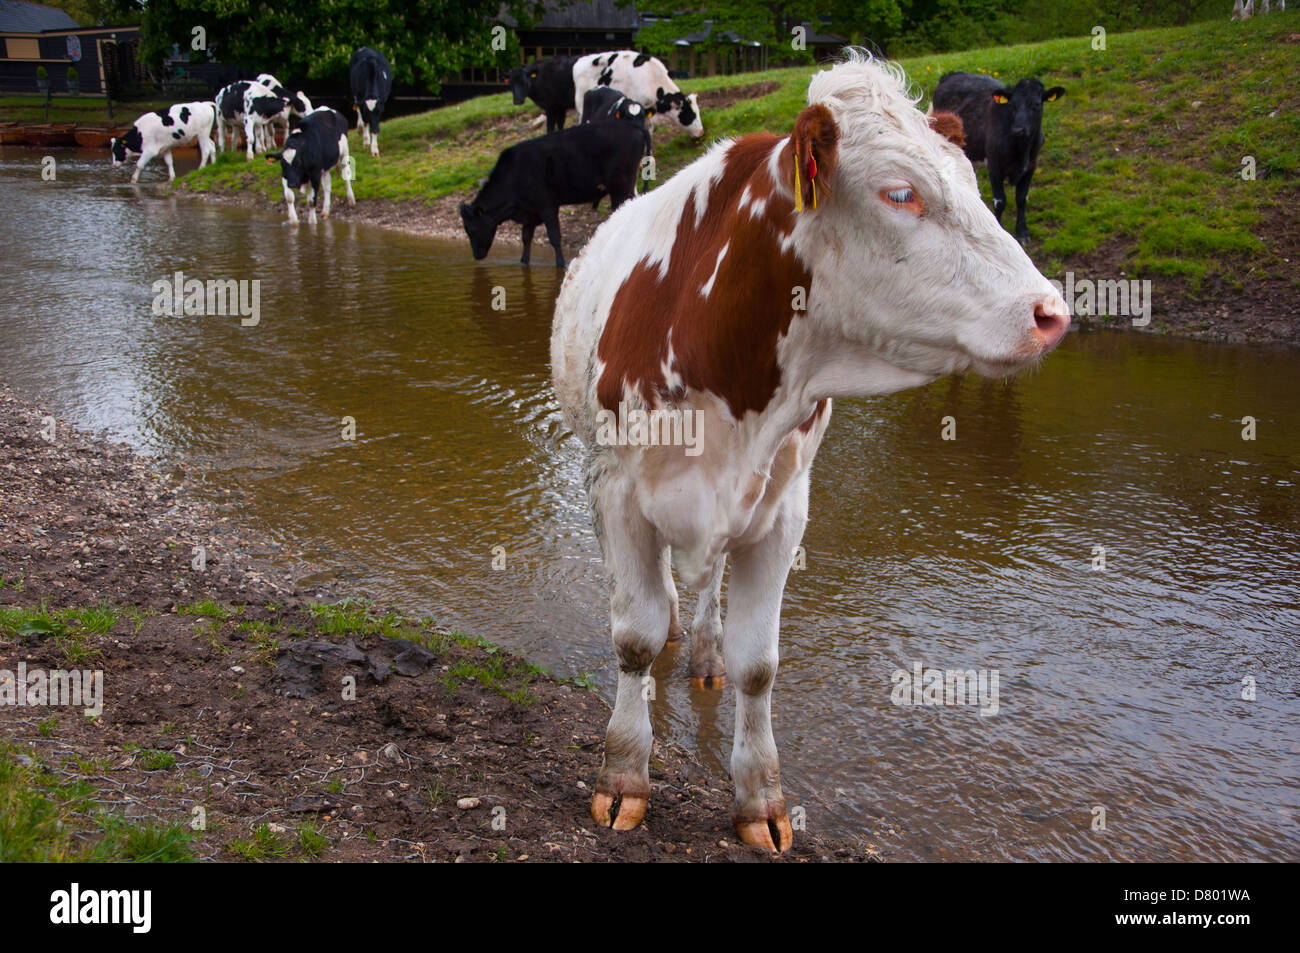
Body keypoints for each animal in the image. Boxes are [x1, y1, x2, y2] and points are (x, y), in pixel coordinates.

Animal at [462, 120, 655, 267]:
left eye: (472, 229)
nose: (476, 255)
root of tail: (632, 125)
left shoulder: (547, 205)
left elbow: (554, 237)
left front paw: (561, 263)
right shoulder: (530, 211)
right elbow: (526, 238)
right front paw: (524, 261)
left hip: (620, 187)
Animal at [935, 71, 1066, 241]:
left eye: (1037, 104)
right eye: (1012, 105)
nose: (1018, 129)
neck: (1021, 148)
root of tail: (952, 74)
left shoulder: (1031, 166)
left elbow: (1021, 198)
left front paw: (1022, 231)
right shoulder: (994, 165)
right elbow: (1000, 201)